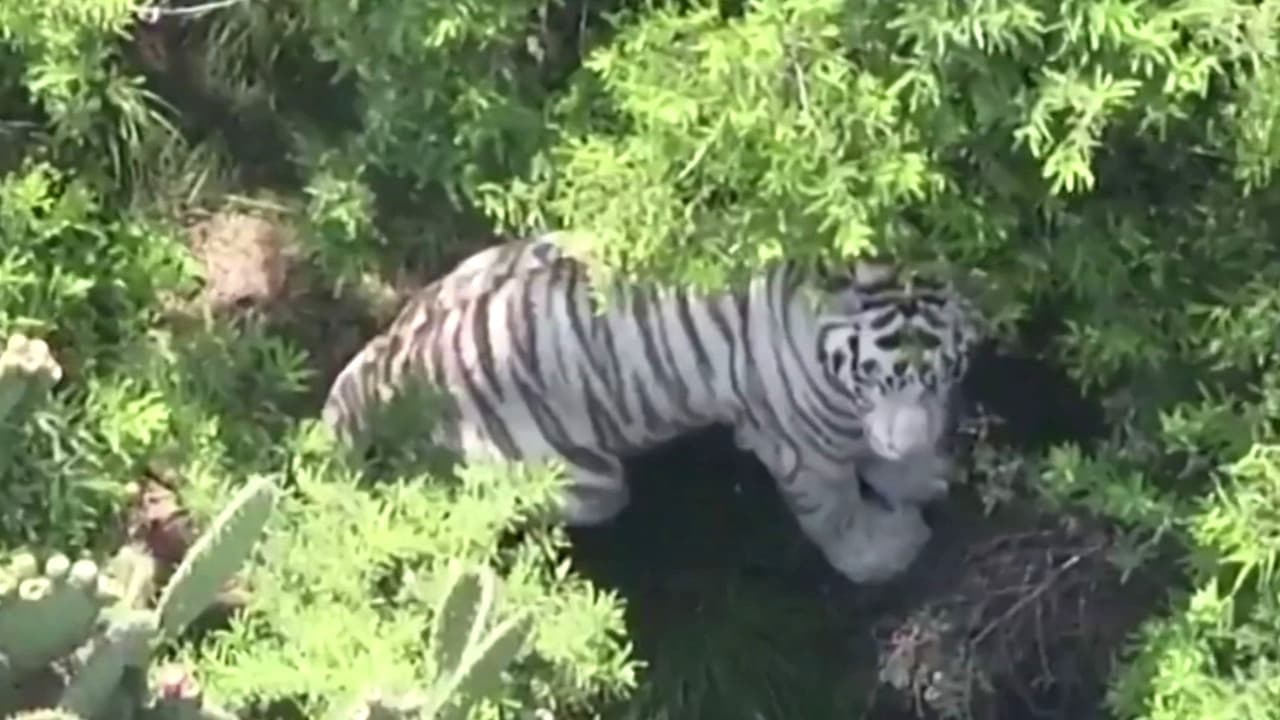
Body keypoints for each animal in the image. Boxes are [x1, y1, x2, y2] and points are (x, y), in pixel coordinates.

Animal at [321, 232, 984, 584]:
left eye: (943, 373)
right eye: (875, 377)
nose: (908, 437)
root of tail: (393, 356)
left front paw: (921, 474)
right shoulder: (800, 446)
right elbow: (837, 512)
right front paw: (884, 553)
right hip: (583, 483)